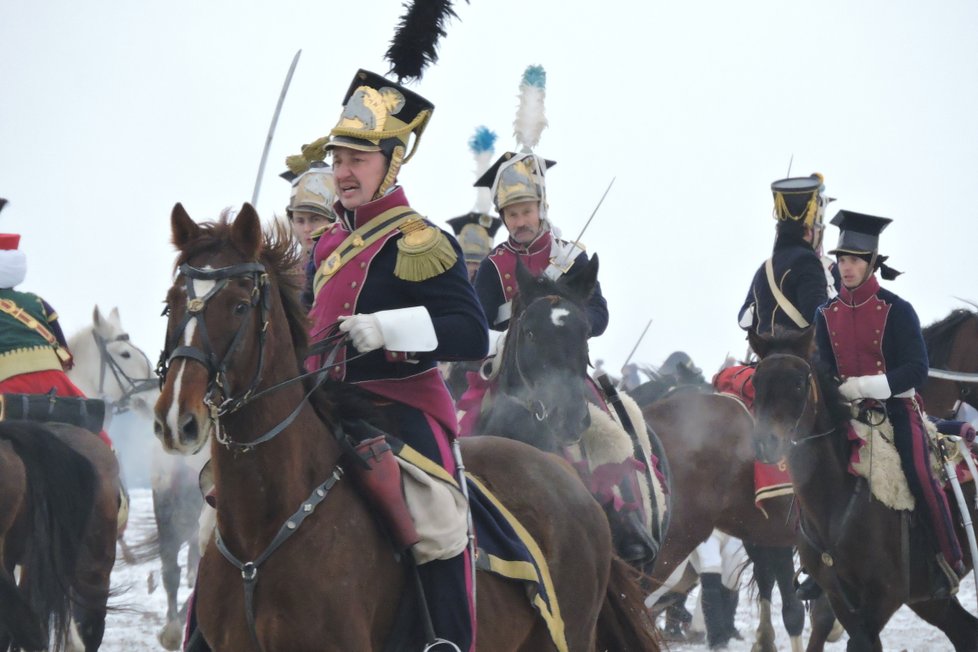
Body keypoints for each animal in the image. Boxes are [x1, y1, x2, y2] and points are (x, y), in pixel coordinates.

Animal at [152, 205, 656, 652]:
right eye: (169, 305)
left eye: (240, 306)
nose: (177, 418)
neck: (266, 525)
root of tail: (564, 475)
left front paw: (369, 331)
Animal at [748, 332, 976, 652]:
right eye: (756, 382)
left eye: (798, 383)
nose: (764, 443)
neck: (834, 504)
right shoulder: (840, 597)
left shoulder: (885, 596)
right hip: (929, 600)